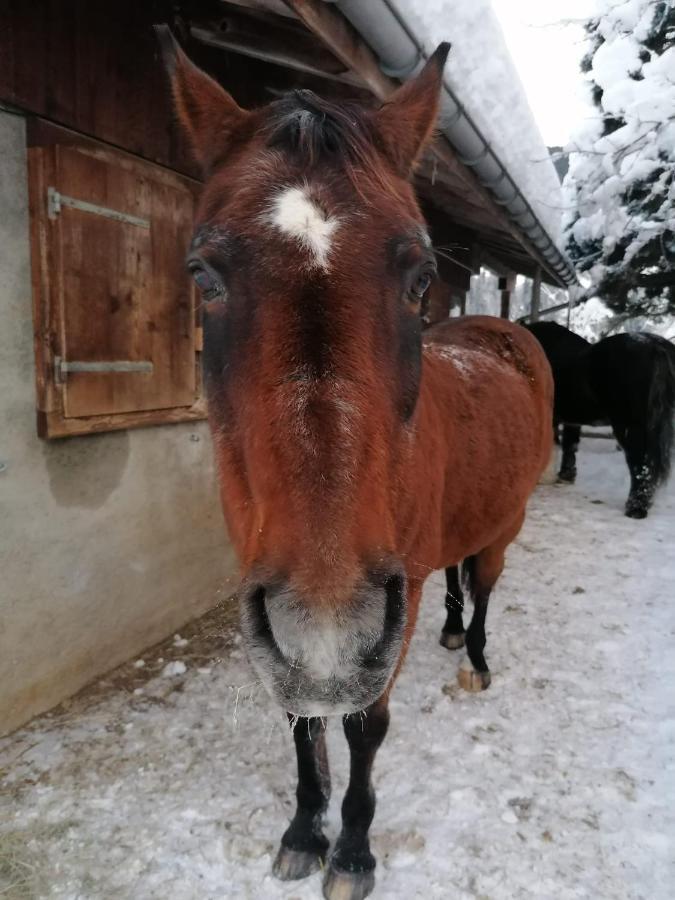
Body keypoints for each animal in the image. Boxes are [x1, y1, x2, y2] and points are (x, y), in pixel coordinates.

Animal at [157, 28, 556, 900]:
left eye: (418, 277)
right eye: (203, 273)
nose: (328, 621)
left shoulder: (379, 619)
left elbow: (364, 724)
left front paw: (351, 851)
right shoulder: (276, 615)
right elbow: (302, 718)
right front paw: (303, 831)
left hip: (501, 527)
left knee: (481, 585)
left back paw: (474, 658)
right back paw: (450, 634)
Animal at [528, 324, 675, 520]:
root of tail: (655, 347)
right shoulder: (571, 419)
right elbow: (569, 445)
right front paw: (565, 476)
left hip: (630, 427)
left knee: (640, 464)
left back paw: (635, 509)